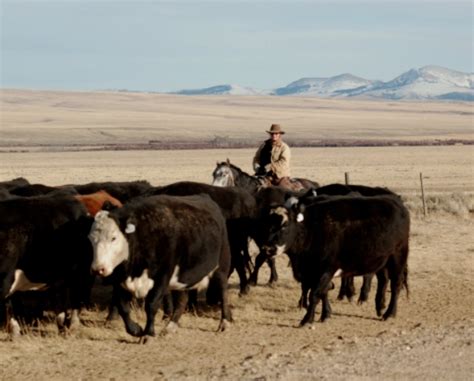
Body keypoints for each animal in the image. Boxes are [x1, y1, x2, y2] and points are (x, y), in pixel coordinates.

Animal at [88, 193, 233, 342]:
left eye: (114, 238)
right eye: (90, 238)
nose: (98, 269)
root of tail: (205, 197)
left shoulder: (162, 277)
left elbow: (151, 305)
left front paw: (148, 333)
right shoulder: (119, 279)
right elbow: (123, 307)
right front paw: (135, 330)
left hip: (222, 266)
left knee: (223, 291)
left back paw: (224, 322)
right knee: (182, 300)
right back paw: (171, 326)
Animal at [262, 194, 410, 326]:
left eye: (285, 225)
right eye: (267, 224)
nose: (268, 249)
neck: (313, 229)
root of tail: (397, 203)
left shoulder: (326, 269)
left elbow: (315, 294)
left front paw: (307, 319)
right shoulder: (311, 273)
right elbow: (323, 292)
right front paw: (325, 314)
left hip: (398, 256)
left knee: (396, 284)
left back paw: (389, 313)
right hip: (381, 260)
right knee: (383, 281)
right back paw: (380, 308)